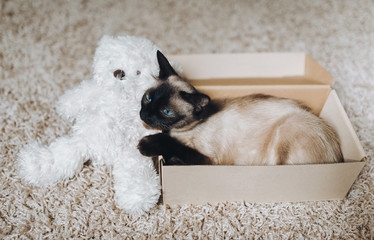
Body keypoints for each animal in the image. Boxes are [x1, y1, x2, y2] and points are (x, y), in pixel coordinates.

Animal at [137, 51, 342, 166]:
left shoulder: (208, 160)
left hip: (287, 128)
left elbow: (173, 145)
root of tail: (339, 157)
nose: (144, 114)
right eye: (148, 98)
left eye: (166, 112)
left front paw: (146, 145)